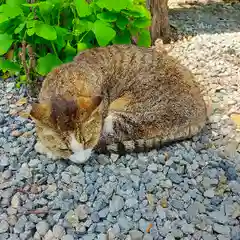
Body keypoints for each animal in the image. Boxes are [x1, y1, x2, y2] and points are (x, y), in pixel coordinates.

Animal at [29, 43, 210, 163]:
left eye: (88, 140)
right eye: (64, 148)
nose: (82, 161)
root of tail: (202, 115)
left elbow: (96, 141)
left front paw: (46, 148)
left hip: (131, 118)